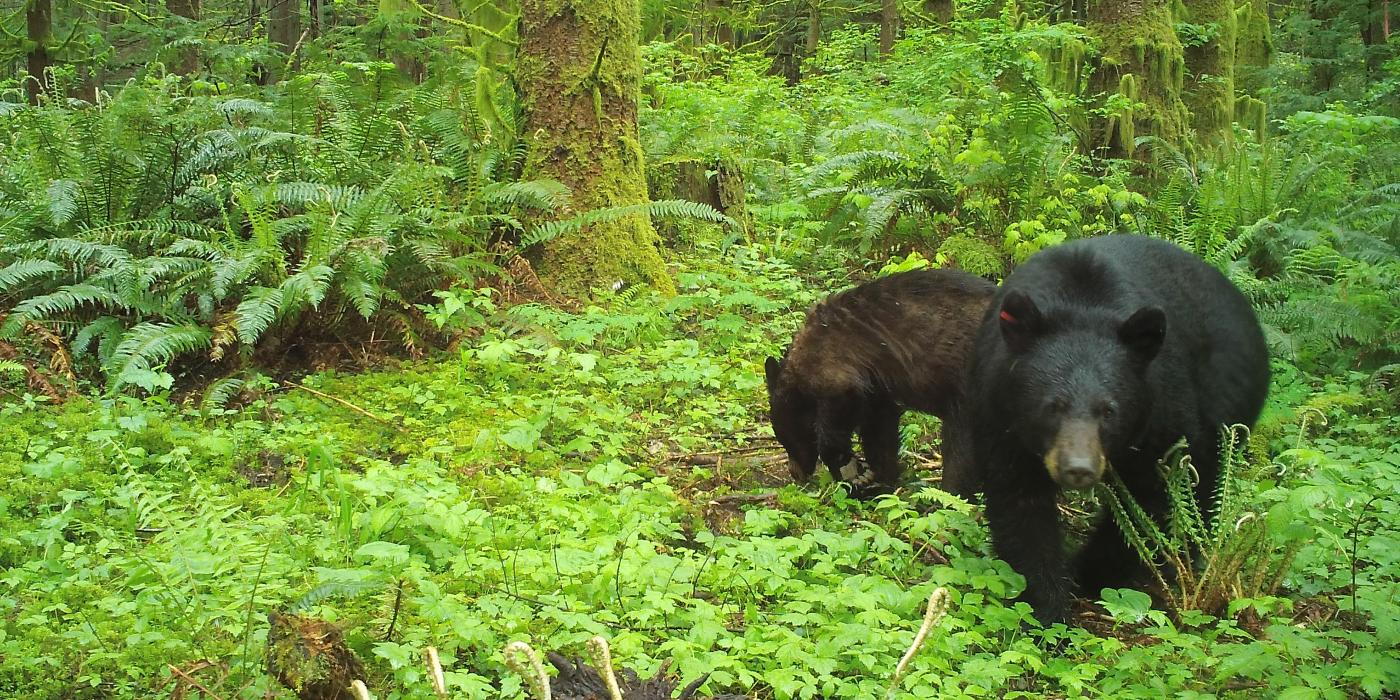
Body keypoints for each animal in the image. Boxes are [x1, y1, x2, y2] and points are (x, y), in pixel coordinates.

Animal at [767, 264, 996, 495]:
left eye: (786, 438)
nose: (795, 473)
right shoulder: (876, 387)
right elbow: (880, 428)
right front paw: (880, 478)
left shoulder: (836, 365)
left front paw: (854, 471)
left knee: (960, 445)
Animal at [963, 236, 1271, 624]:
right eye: (1052, 406)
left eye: (1109, 410)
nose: (1078, 468)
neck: (1081, 303)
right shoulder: (1000, 414)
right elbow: (1020, 505)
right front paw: (1047, 607)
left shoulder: (1161, 411)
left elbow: (1152, 497)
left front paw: (1088, 572)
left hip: (1226, 401)